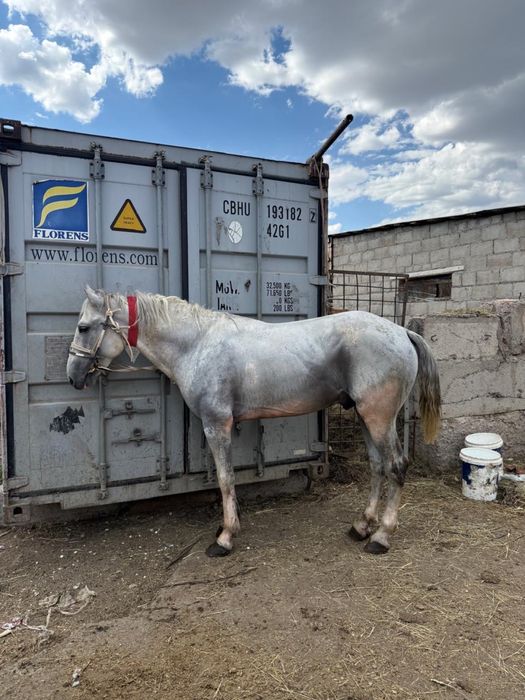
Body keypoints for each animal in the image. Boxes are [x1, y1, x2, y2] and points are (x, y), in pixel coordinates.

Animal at [67, 287, 441, 557]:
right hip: (366, 416)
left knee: (396, 465)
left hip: (379, 417)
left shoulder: (217, 424)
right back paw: (361, 526)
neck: (198, 344)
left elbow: (225, 478)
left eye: (84, 327)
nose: (73, 375)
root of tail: (401, 332)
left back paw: (381, 536)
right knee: (378, 466)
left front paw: (225, 537)